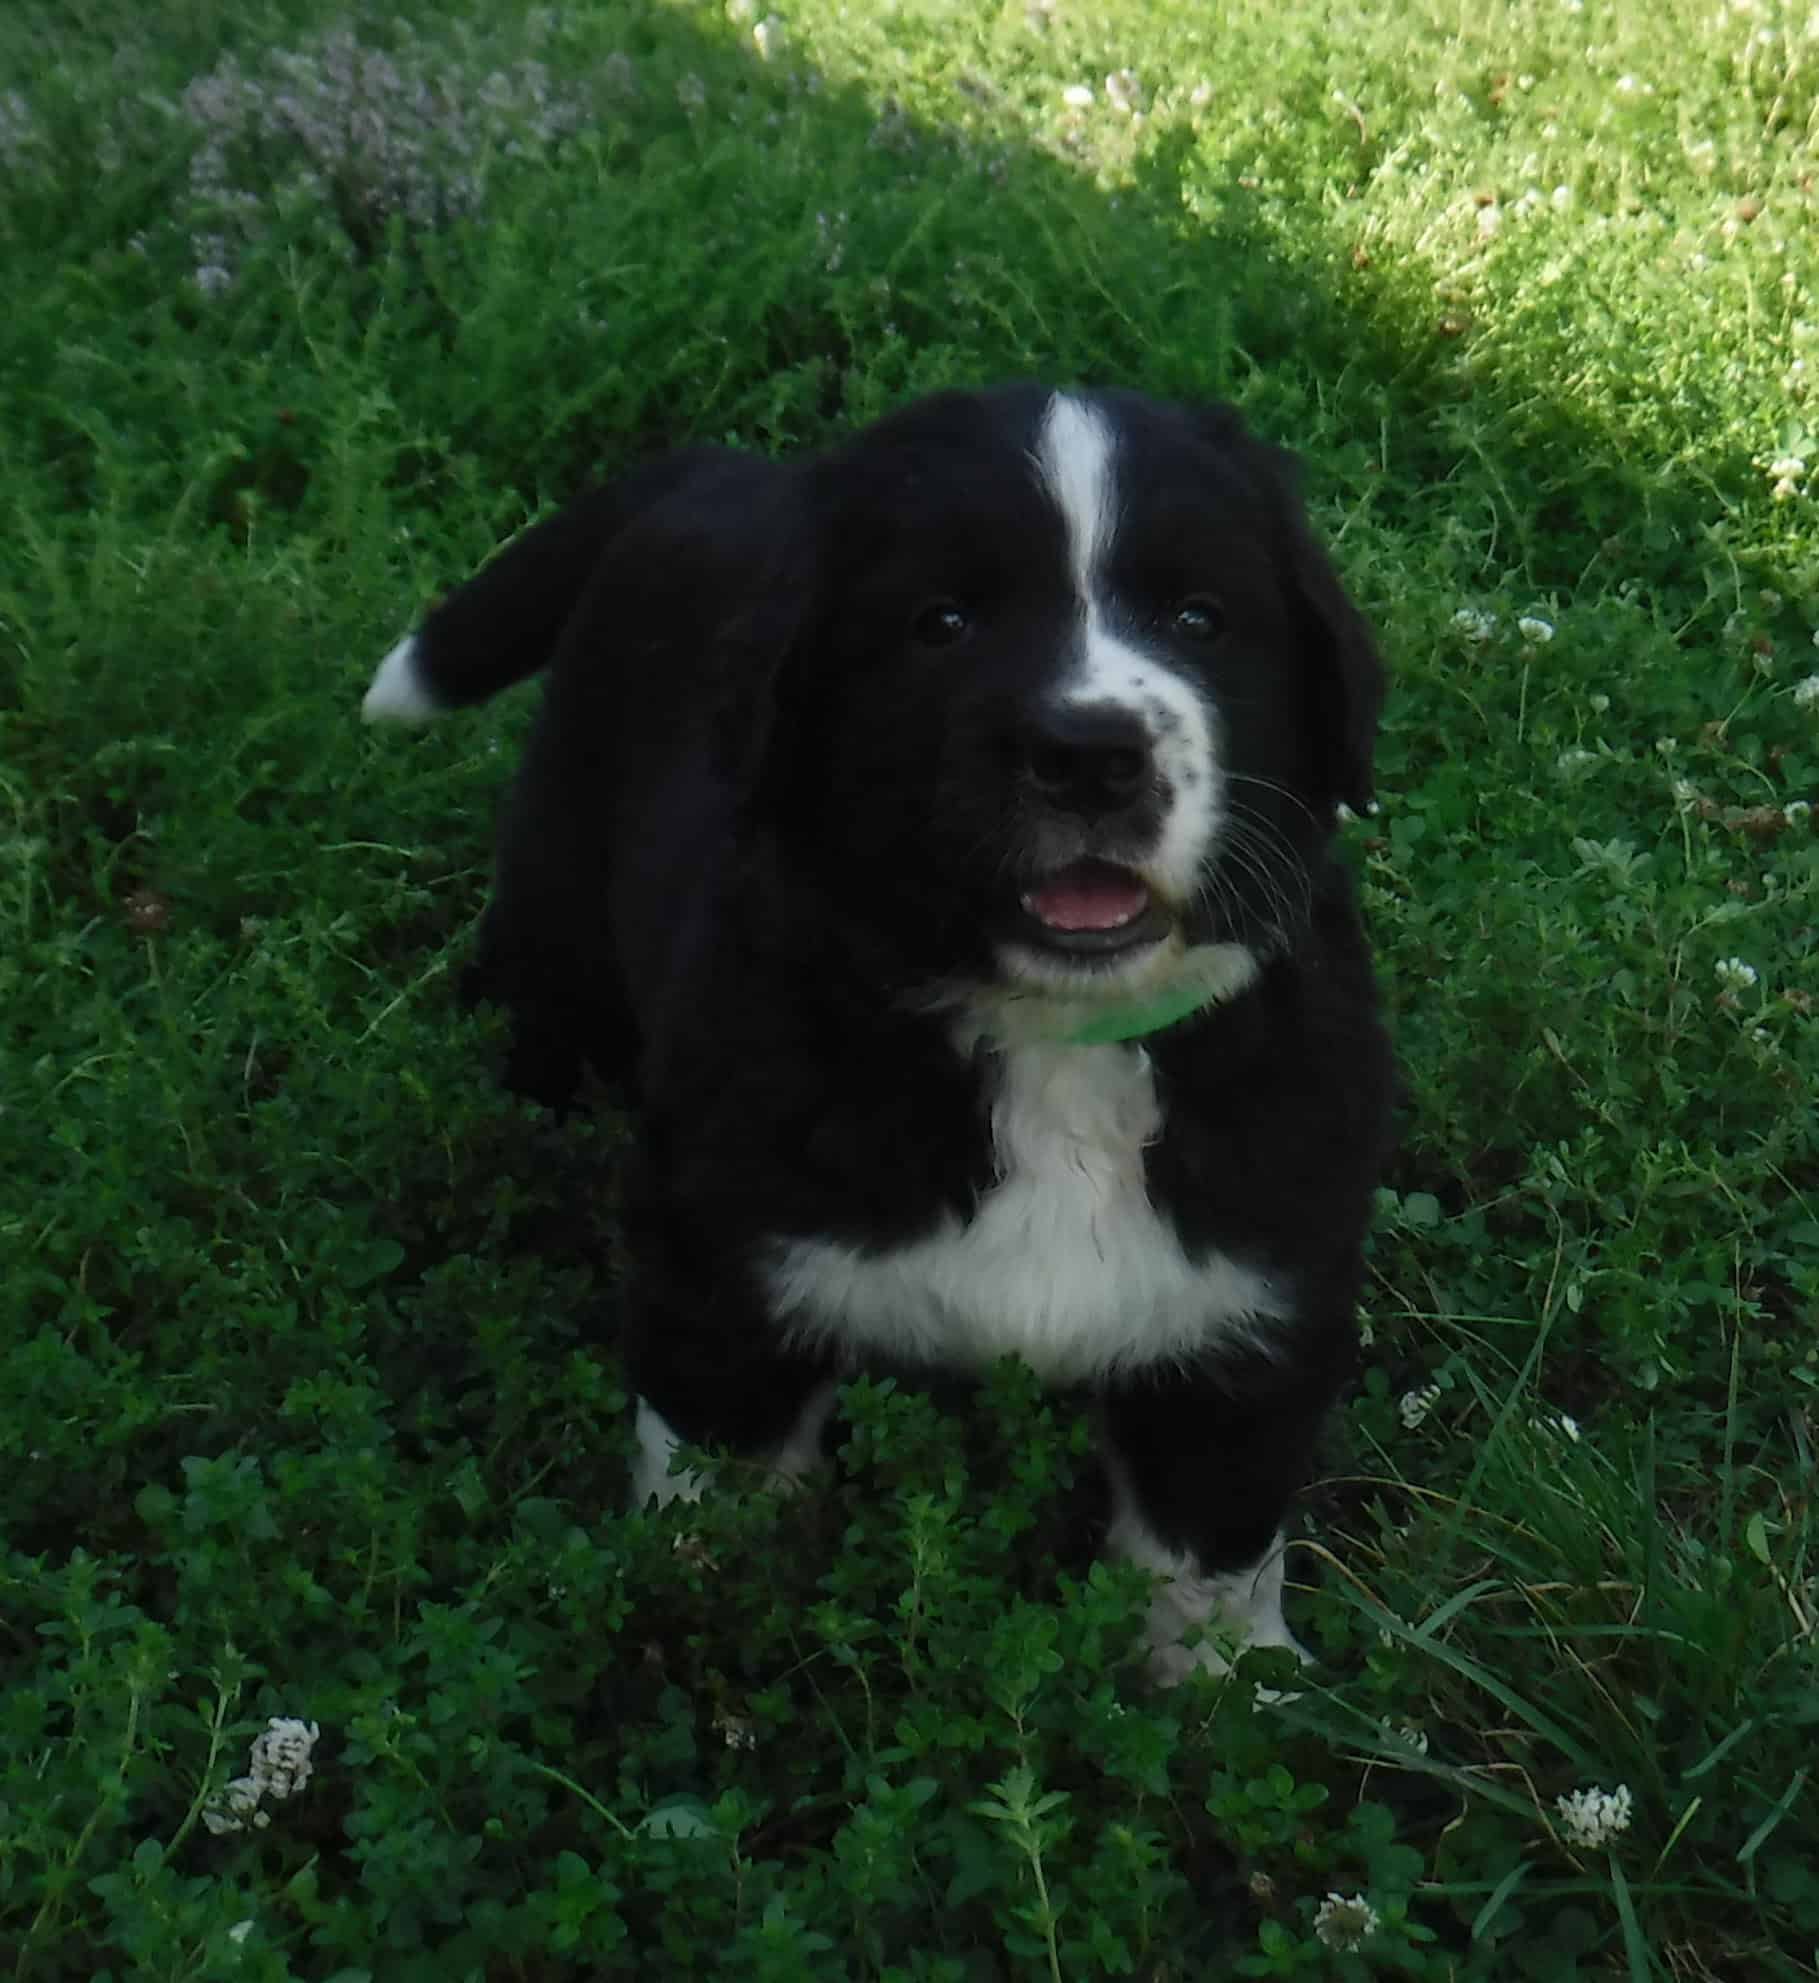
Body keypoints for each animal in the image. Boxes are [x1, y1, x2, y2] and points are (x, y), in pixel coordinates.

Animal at [364, 390, 1388, 1689]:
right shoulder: (723, 1257)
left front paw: (1228, 1694)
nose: (1090, 754)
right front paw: (707, 1630)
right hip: (560, 901)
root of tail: (716, 471)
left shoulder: (1257, 1300)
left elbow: (1211, 1541)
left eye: (1199, 618)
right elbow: (716, 1480)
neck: (1052, 1046)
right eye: (941, 623)